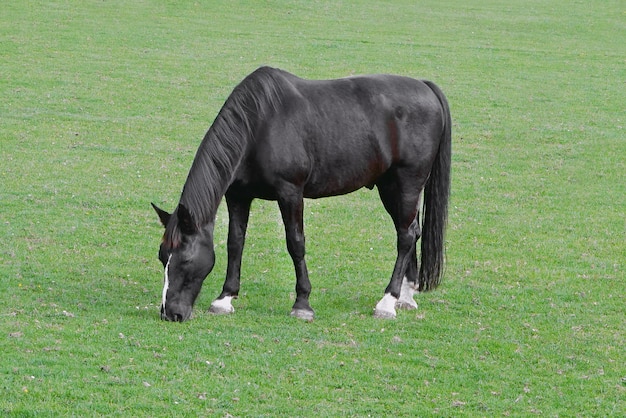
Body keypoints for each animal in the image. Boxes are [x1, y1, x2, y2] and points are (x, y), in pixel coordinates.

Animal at [151, 65, 448, 322]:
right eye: (162, 256)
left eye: (185, 259)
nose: (170, 313)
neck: (260, 124)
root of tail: (425, 86)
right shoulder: (238, 195)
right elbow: (235, 243)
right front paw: (225, 298)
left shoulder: (290, 193)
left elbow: (295, 243)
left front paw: (302, 303)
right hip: (391, 187)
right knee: (411, 230)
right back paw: (406, 296)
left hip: (406, 184)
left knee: (405, 237)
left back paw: (387, 302)